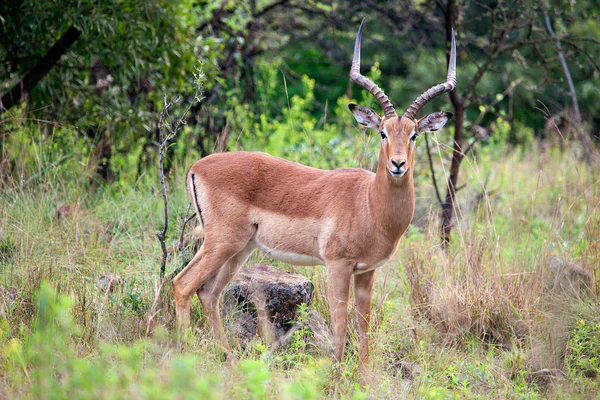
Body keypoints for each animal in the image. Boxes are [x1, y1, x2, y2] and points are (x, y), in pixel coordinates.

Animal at [173, 20, 460, 372]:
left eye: (414, 134)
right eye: (382, 132)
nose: (398, 164)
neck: (369, 204)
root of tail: (197, 166)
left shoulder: (366, 271)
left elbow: (364, 324)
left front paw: (363, 375)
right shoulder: (337, 265)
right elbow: (340, 321)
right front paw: (335, 373)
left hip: (241, 248)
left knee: (209, 293)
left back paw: (228, 358)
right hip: (222, 242)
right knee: (183, 285)